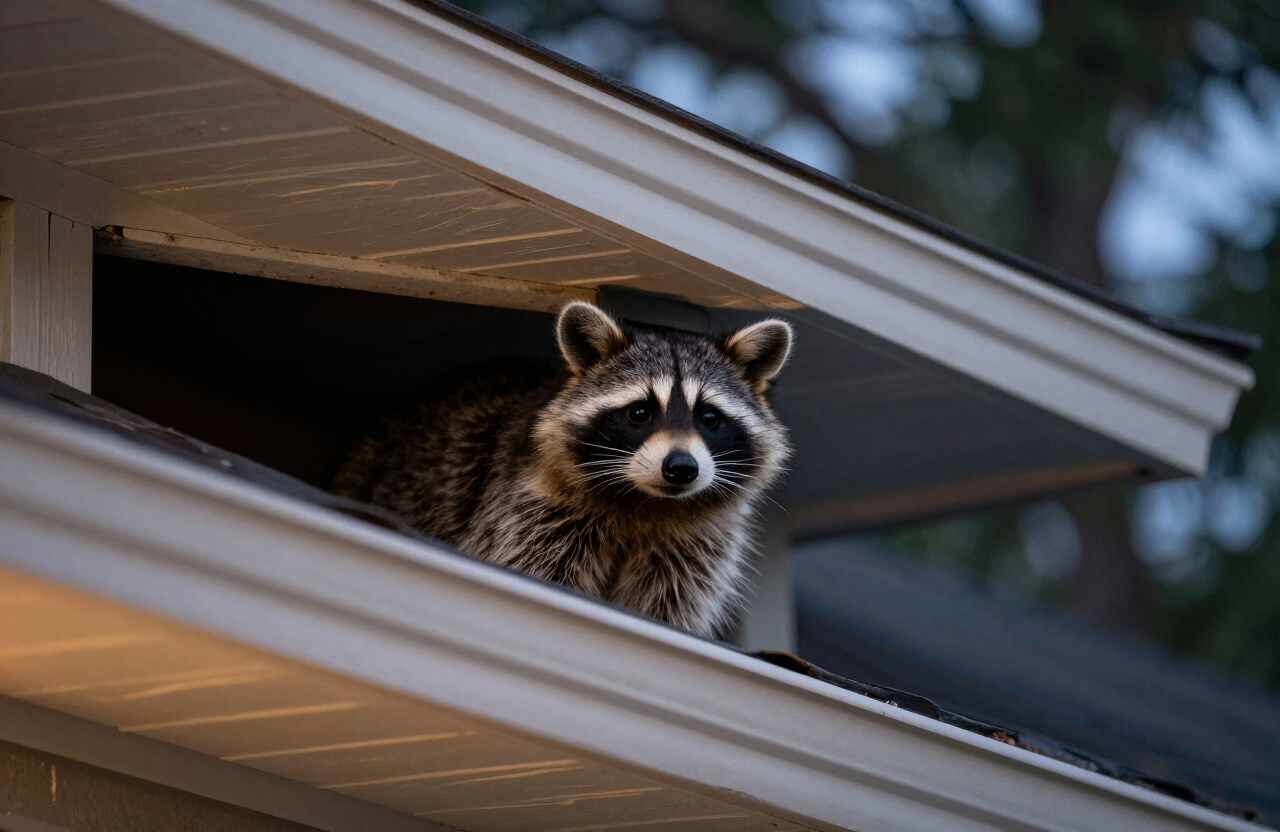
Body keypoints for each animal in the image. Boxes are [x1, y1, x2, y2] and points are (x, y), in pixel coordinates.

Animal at [330, 301, 792, 637]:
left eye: (709, 418)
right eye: (639, 412)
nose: (681, 468)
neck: (645, 502)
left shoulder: (694, 545)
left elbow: (669, 604)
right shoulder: (529, 508)